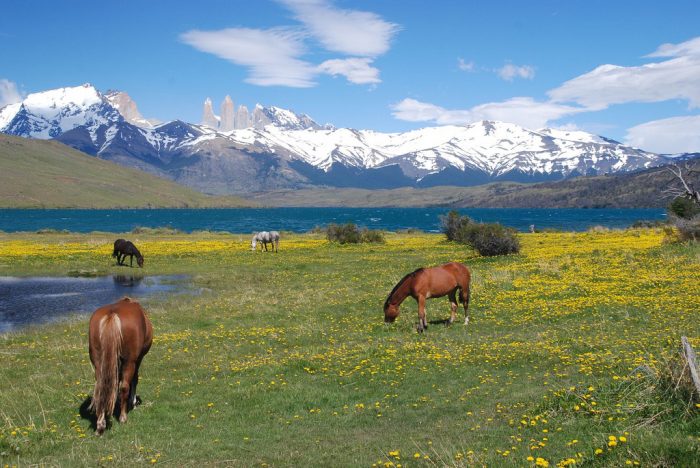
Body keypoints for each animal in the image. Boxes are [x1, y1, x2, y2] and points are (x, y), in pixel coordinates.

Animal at [88, 296, 152, 436]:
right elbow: (134, 380)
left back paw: (100, 424)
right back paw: (123, 417)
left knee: (101, 387)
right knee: (124, 387)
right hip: (130, 361)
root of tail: (112, 315)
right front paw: (133, 403)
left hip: (99, 362)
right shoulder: (138, 359)